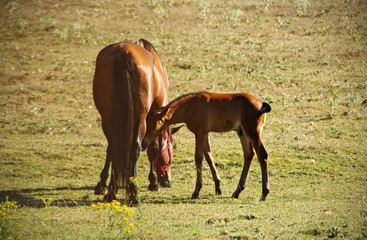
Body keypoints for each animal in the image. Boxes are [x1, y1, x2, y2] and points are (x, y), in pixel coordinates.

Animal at [91, 39, 178, 204]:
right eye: (173, 147)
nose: (168, 181)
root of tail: (124, 52)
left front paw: (102, 184)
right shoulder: (154, 118)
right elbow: (153, 148)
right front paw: (153, 182)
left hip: (108, 116)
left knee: (114, 146)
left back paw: (111, 191)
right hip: (140, 116)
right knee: (135, 147)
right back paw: (133, 193)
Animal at [144, 92, 274, 201]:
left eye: (156, 124)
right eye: (147, 123)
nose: (144, 142)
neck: (190, 106)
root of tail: (261, 103)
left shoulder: (200, 133)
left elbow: (198, 158)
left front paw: (196, 191)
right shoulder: (205, 134)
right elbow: (209, 156)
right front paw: (218, 187)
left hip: (252, 132)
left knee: (262, 155)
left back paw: (264, 193)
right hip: (242, 132)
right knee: (248, 155)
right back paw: (237, 191)